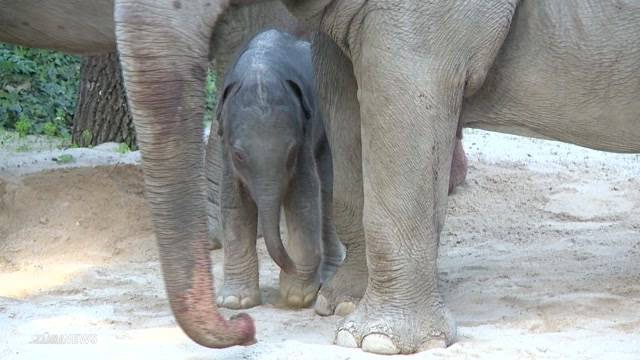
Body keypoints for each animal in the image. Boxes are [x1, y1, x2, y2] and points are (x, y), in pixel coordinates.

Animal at [216, 29, 344, 308]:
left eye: (291, 152)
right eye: (239, 155)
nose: (290, 267)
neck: (260, 70)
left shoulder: (304, 132)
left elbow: (303, 196)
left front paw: (297, 295)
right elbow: (234, 203)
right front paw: (234, 301)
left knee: (327, 191)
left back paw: (328, 276)